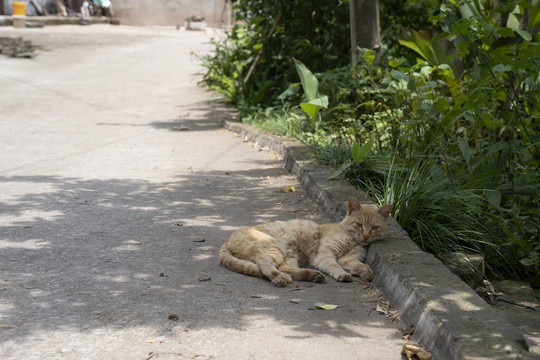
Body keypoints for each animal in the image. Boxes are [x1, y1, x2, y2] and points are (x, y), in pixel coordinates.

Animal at [219, 197, 392, 286]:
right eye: (359, 224)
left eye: (374, 227)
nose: (366, 236)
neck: (352, 240)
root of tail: (227, 240)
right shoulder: (324, 256)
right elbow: (334, 266)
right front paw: (343, 274)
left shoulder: (349, 259)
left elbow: (359, 265)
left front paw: (366, 272)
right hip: (276, 247)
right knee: (264, 264)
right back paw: (279, 278)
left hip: (290, 256)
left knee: (285, 268)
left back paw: (312, 276)